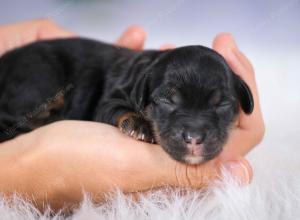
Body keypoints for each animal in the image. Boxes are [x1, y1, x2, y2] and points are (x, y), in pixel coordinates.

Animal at [0, 38, 253, 164]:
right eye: (167, 101)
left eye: (222, 105)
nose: (194, 138)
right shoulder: (110, 101)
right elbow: (119, 110)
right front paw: (140, 125)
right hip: (39, 78)